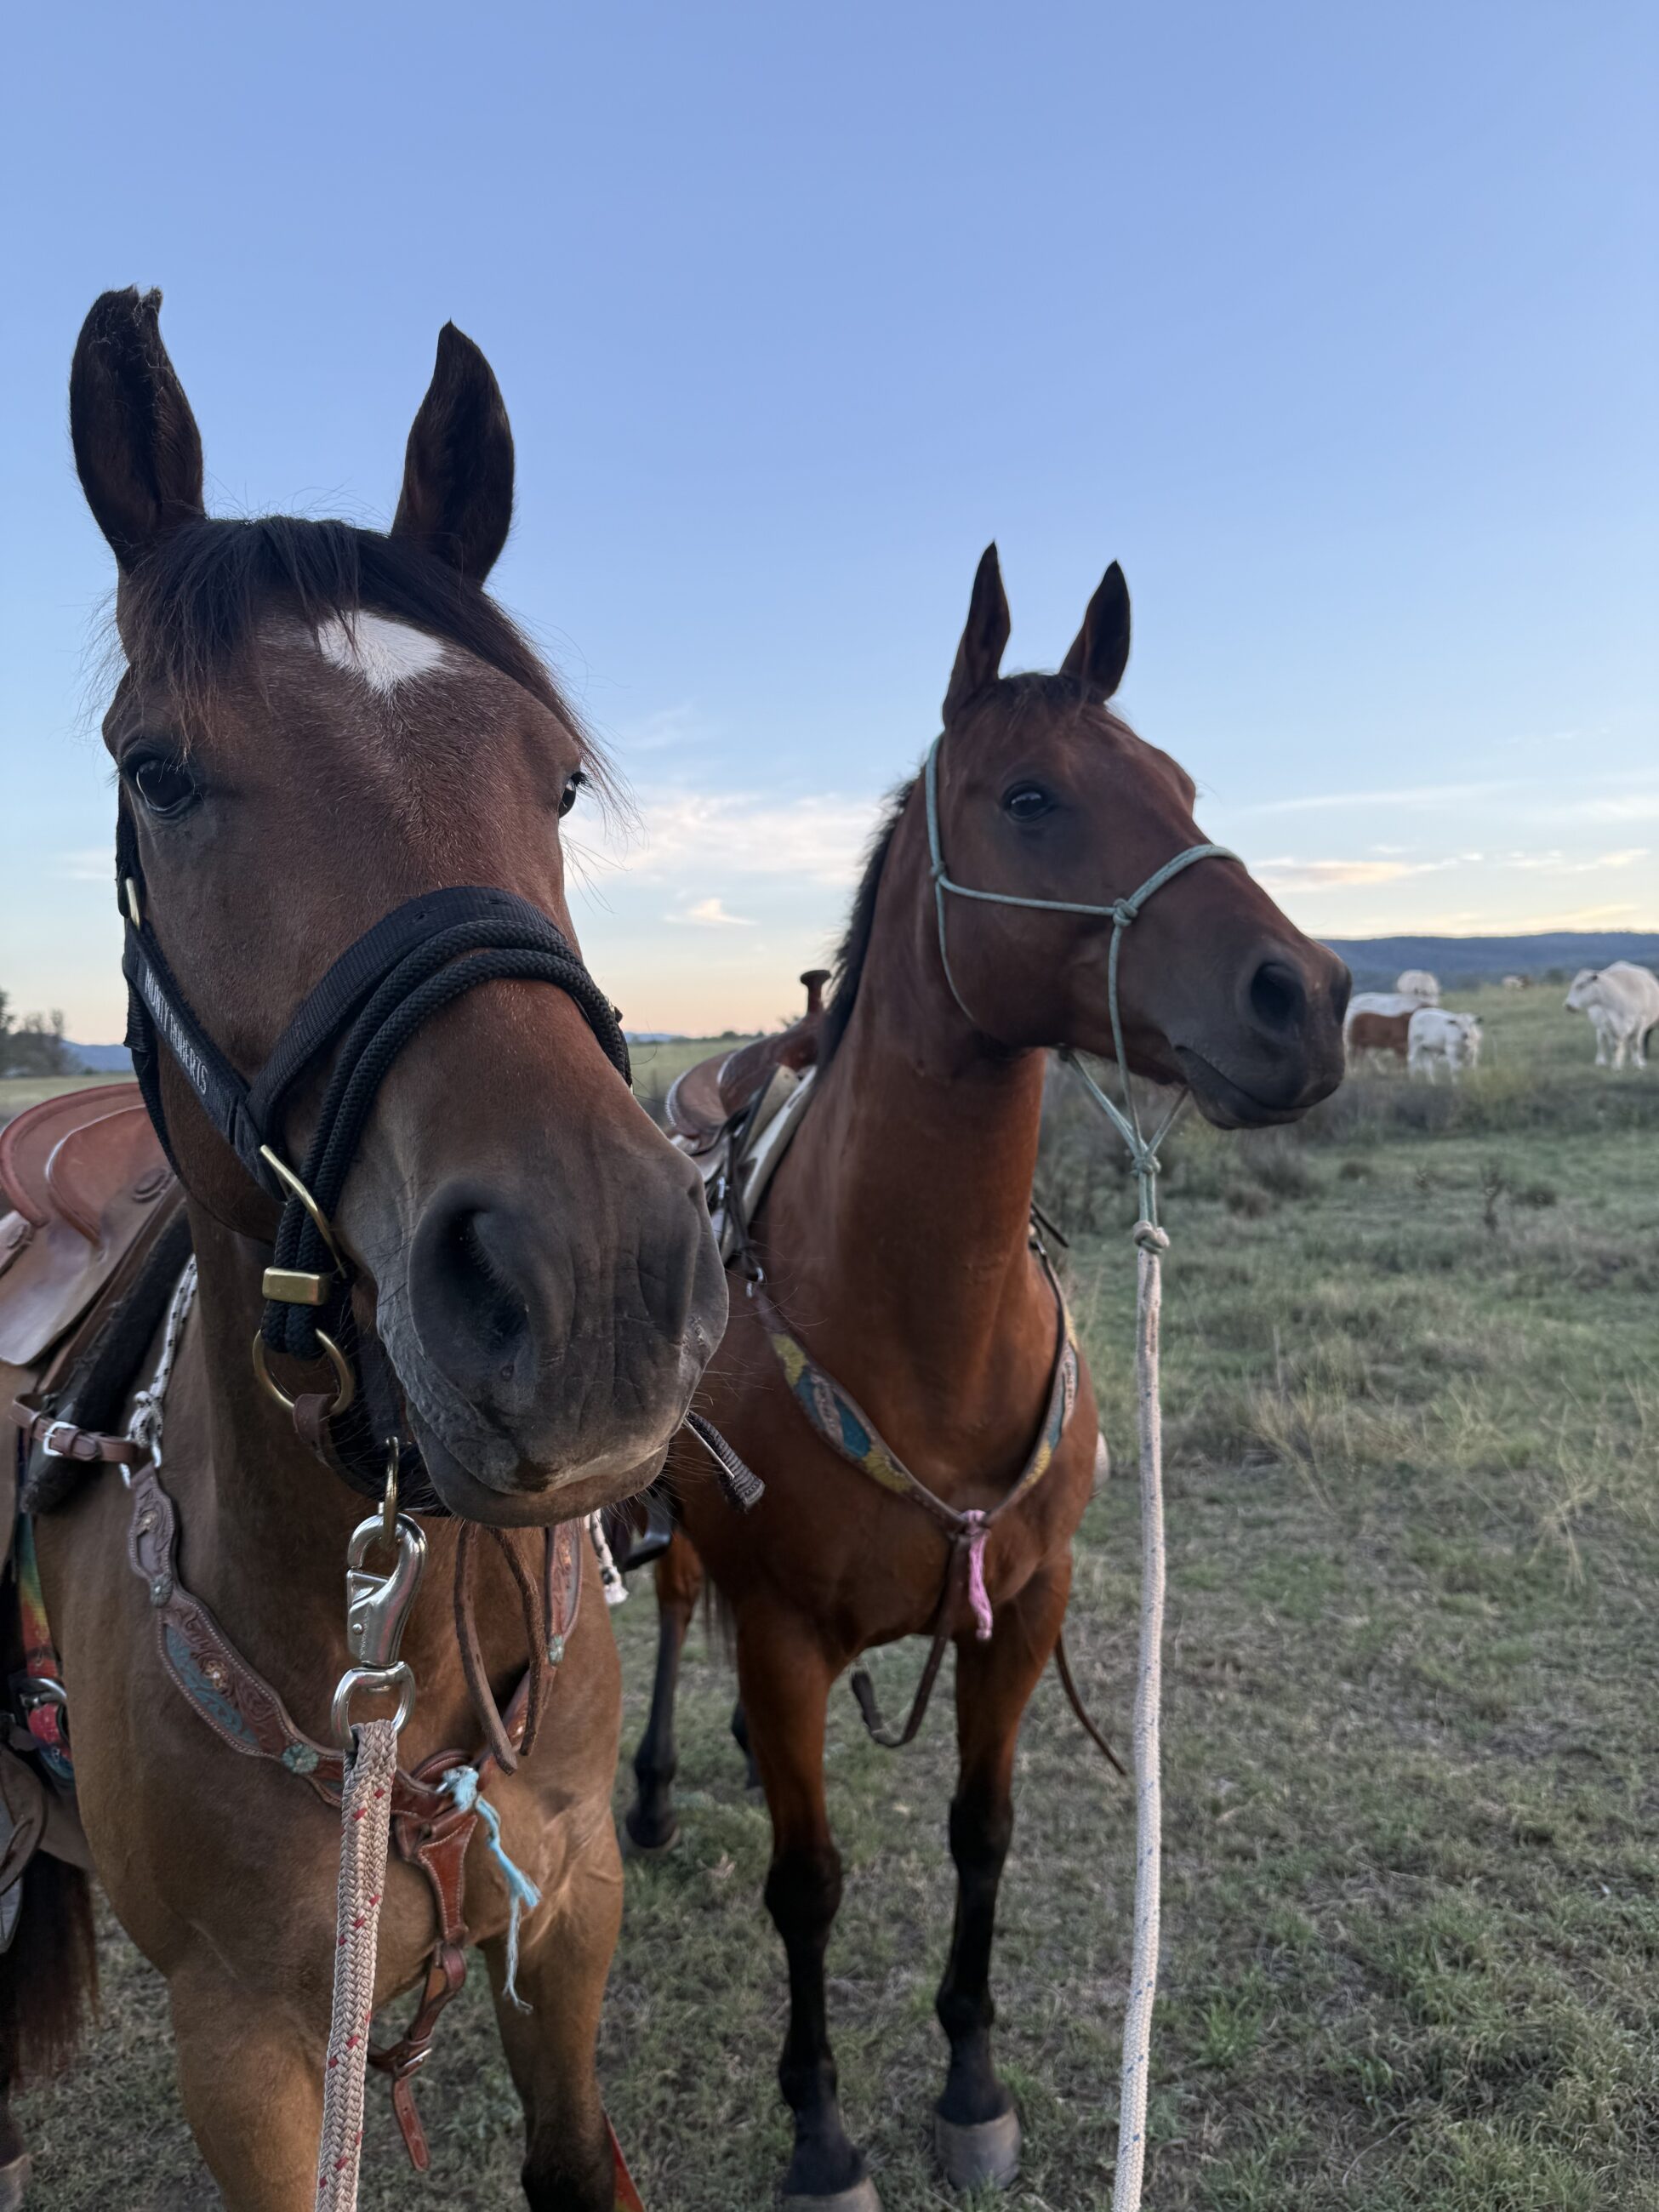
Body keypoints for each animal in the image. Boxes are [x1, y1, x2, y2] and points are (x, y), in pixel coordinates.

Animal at [624, 545, 1350, 2208]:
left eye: (1181, 779)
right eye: (1030, 797)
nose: (1308, 996)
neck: (924, 1330)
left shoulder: (1025, 1609)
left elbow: (983, 1834)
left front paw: (969, 2085)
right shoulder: (783, 1630)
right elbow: (809, 1884)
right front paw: (821, 2133)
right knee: (678, 1614)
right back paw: (652, 1786)